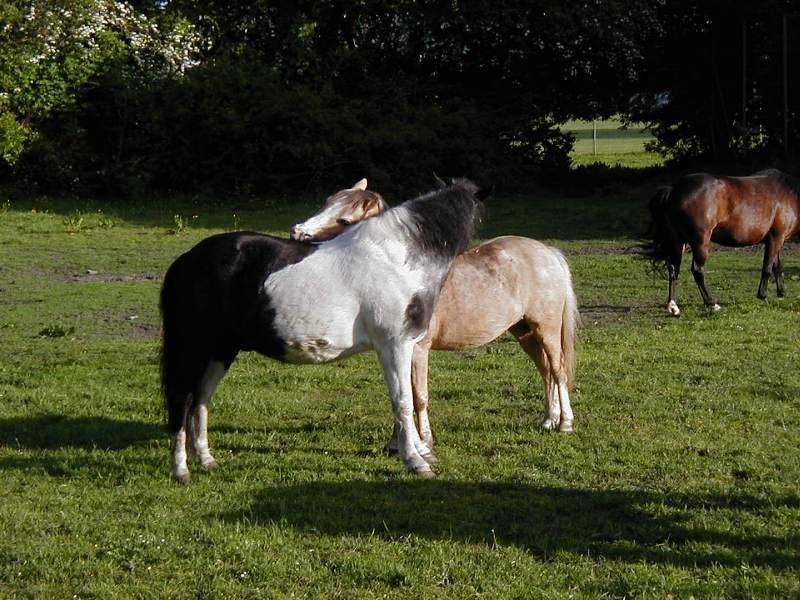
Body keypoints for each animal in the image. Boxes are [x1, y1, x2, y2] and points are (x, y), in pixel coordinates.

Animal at [156, 176, 482, 480]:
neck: (399, 259)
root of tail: (186, 260)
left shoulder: (407, 346)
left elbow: (412, 399)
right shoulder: (395, 346)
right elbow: (402, 401)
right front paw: (415, 461)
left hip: (220, 351)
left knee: (201, 399)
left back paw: (207, 461)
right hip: (192, 349)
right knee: (182, 400)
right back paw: (180, 470)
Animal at [290, 180, 580, 452]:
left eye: (345, 220)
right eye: (327, 202)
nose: (297, 232)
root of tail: (548, 252)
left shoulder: (418, 350)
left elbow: (418, 396)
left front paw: (424, 441)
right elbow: (401, 394)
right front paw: (397, 443)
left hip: (546, 328)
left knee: (557, 369)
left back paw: (564, 423)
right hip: (524, 331)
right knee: (545, 370)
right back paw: (549, 420)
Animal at [636, 169, 800, 314]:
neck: (788, 194)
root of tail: (673, 191)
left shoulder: (777, 239)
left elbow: (777, 266)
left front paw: (781, 293)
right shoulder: (775, 238)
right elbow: (767, 268)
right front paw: (763, 295)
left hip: (678, 241)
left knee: (673, 268)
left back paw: (673, 306)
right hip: (700, 242)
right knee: (697, 270)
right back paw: (711, 303)